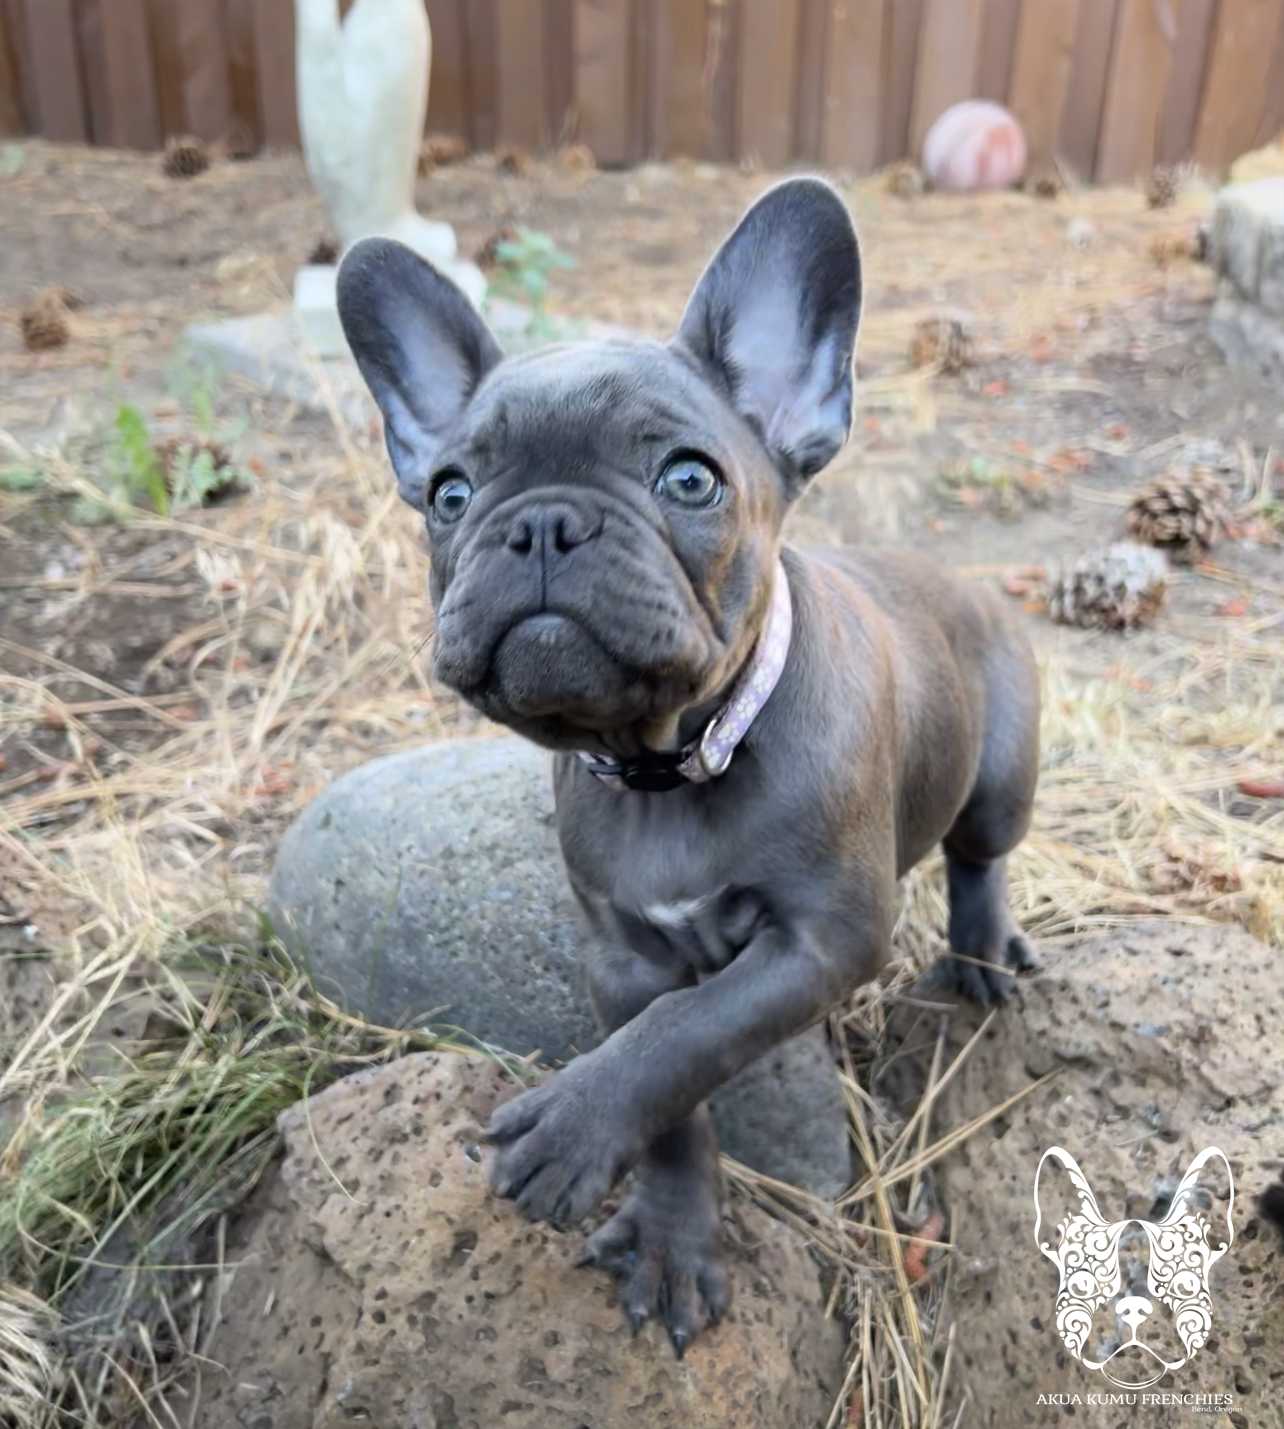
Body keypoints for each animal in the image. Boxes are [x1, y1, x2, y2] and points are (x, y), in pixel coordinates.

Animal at [337, 184, 1039, 1354]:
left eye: (689, 478)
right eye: (449, 493)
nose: (541, 522)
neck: (676, 758)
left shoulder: (823, 938)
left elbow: (690, 1030)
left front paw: (571, 1122)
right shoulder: (623, 955)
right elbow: (671, 1084)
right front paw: (669, 1235)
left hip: (1001, 774)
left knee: (980, 857)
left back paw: (984, 955)